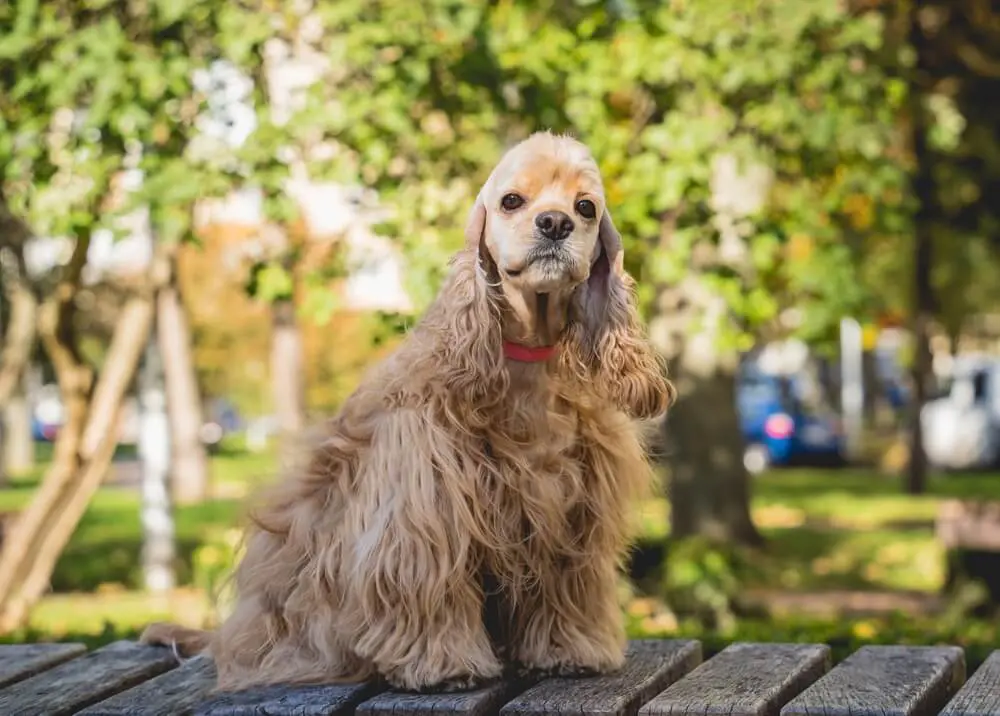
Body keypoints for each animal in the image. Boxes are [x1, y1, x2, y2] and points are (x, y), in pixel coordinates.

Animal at [143, 131, 672, 692]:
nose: (554, 223)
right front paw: (446, 665)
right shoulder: (422, 507)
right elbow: (429, 583)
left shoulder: (573, 512)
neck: (525, 359)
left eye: (585, 206)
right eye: (512, 201)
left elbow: (567, 584)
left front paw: (567, 649)